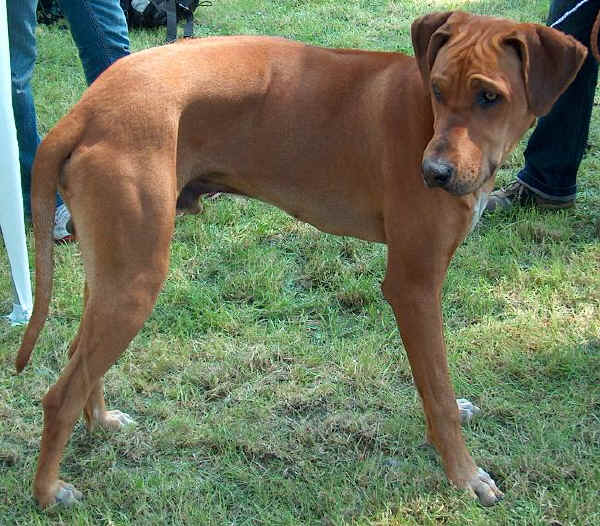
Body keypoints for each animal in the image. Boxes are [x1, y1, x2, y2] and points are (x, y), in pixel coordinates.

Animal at [17, 10, 584, 510]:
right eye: (439, 91)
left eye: (490, 97)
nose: (434, 174)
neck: (427, 122)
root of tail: (87, 107)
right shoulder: (414, 286)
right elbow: (439, 392)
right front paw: (464, 476)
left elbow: (436, 387)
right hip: (136, 280)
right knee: (58, 394)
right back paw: (47, 492)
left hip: (115, 269)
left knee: (79, 353)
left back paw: (100, 422)